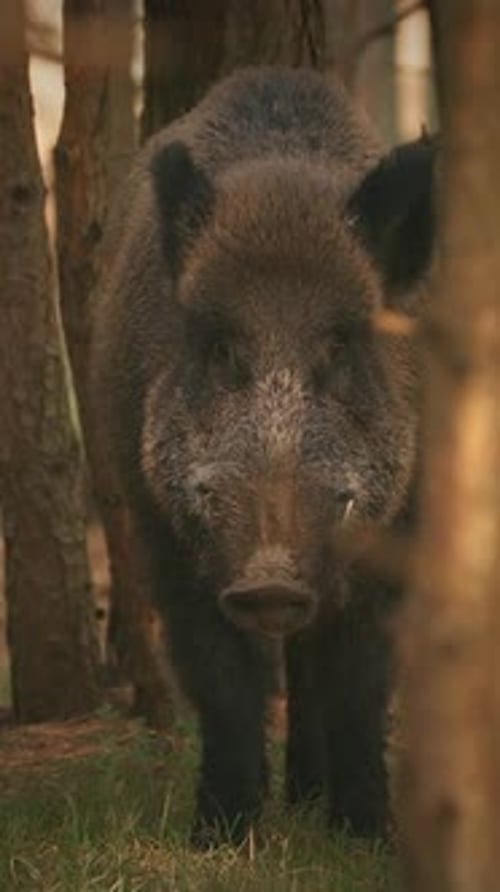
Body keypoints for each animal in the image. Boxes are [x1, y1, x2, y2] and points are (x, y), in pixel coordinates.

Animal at [90, 66, 435, 846]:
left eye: (338, 346)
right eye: (221, 350)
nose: (269, 578)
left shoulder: (395, 531)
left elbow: (358, 681)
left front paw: (365, 837)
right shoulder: (166, 532)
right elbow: (222, 680)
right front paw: (220, 838)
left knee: (308, 666)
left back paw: (309, 800)